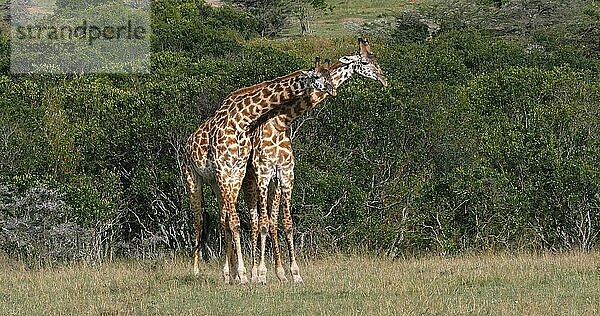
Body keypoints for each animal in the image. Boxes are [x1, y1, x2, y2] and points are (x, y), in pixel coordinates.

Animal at [183, 57, 336, 284]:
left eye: (329, 76)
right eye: (317, 76)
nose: (332, 89)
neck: (242, 120)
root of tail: (187, 143)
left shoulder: (236, 172)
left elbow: (234, 222)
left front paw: (240, 273)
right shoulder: (225, 169)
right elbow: (236, 222)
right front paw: (245, 274)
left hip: (217, 183)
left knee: (222, 218)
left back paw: (229, 274)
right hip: (193, 178)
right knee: (199, 221)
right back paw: (197, 271)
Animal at [244, 37, 390, 284]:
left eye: (375, 59)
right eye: (366, 62)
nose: (385, 80)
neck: (280, 123)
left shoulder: (286, 173)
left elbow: (286, 223)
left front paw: (294, 273)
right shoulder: (263, 172)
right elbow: (262, 224)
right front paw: (262, 274)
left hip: (272, 184)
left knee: (271, 221)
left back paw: (278, 273)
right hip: (251, 183)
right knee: (255, 222)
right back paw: (253, 273)